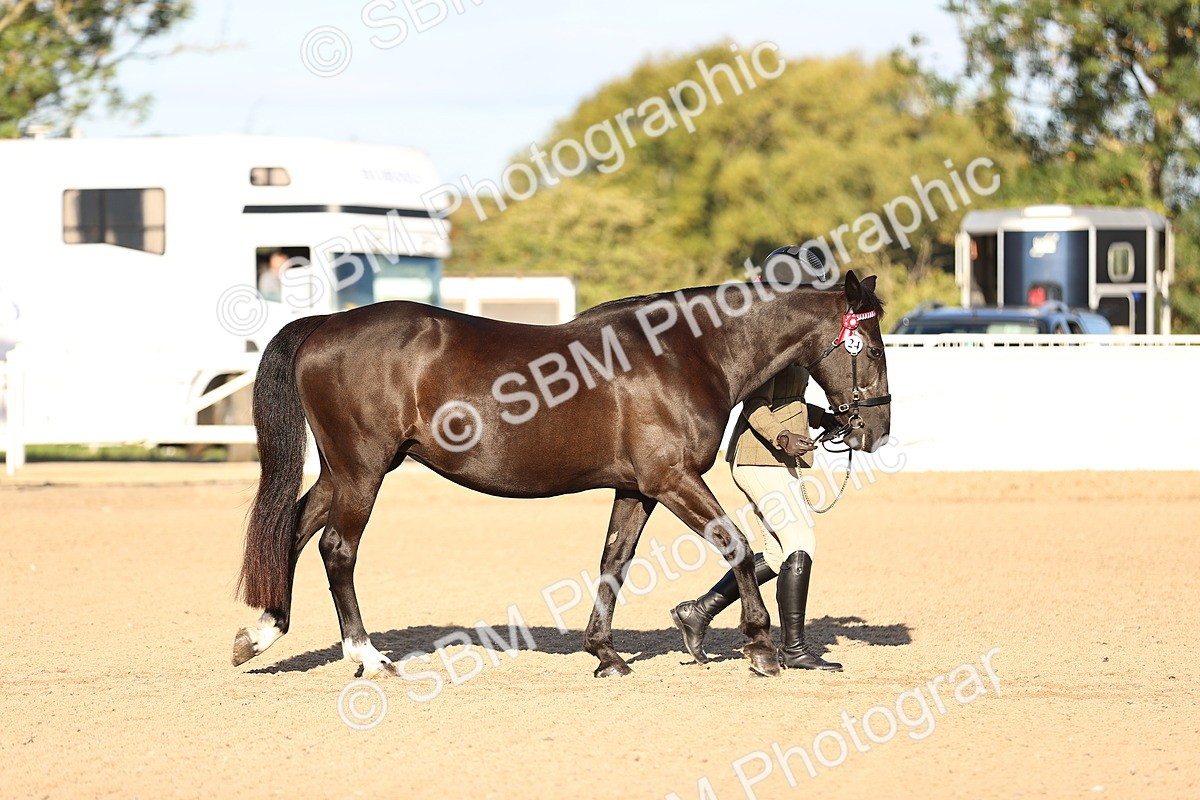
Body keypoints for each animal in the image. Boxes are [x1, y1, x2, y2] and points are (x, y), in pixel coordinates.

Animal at [231, 269, 890, 679]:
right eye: (875, 347)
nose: (875, 431)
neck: (686, 352)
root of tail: (323, 324)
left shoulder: (636, 489)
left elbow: (614, 562)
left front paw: (606, 654)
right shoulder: (673, 480)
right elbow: (738, 546)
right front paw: (761, 646)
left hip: (346, 472)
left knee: (293, 530)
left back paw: (259, 634)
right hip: (362, 470)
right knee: (337, 550)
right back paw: (368, 657)